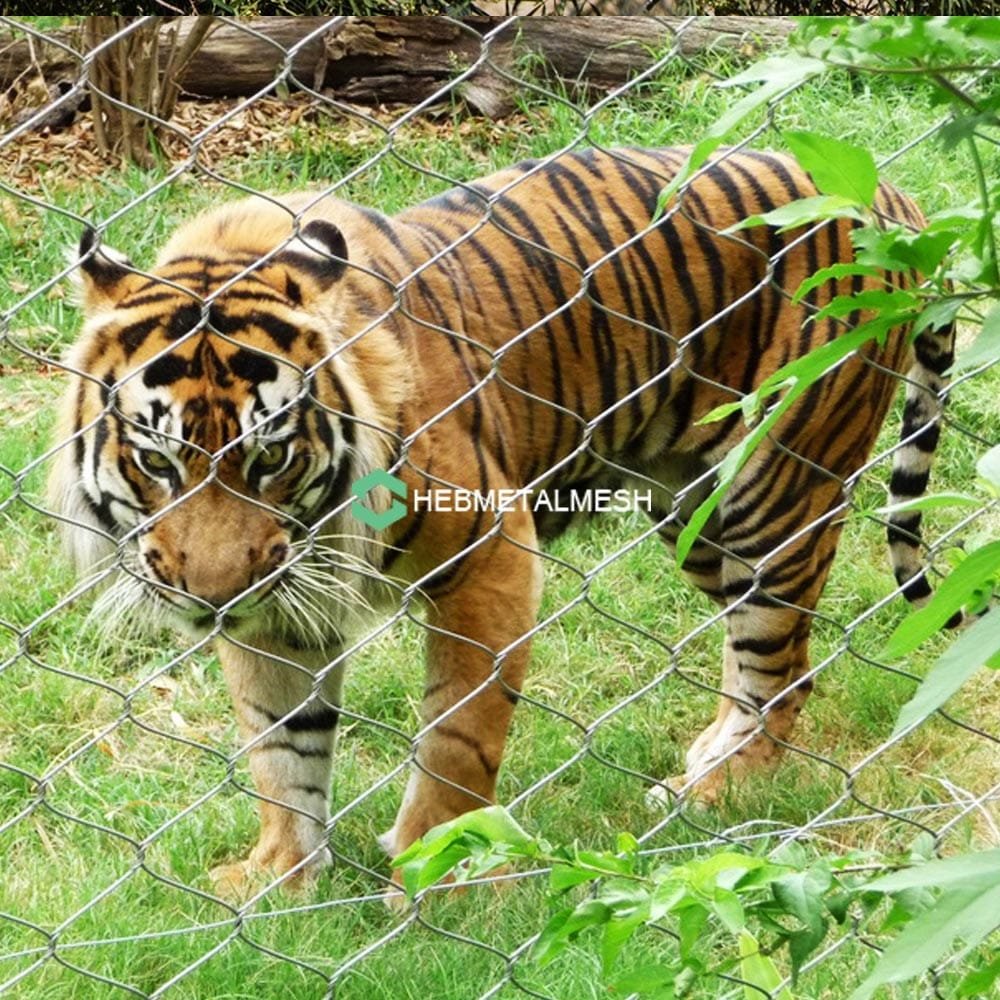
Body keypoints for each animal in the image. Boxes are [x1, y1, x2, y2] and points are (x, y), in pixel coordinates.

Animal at [47, 146, 952, 892]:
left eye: (267, 459)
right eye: (158, 463)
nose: (214, 596)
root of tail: (889, 195)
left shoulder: (488, 552)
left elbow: (459, 733)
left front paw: (435, 874)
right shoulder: (280, 602)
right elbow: (282, 746)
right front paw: (280, 875)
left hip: (775, 491)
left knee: (782, 660)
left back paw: (723, 787)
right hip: (692, 512)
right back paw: (711, 758)